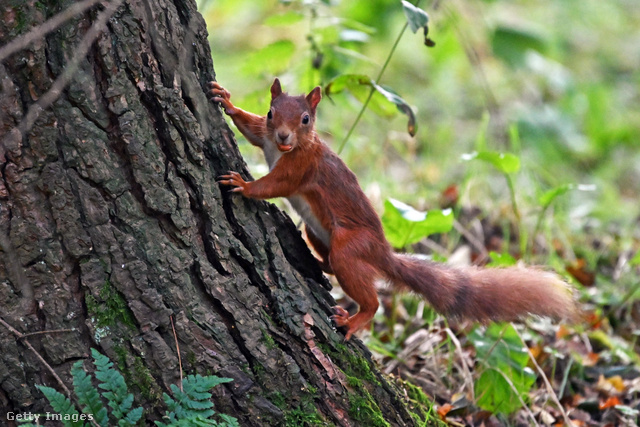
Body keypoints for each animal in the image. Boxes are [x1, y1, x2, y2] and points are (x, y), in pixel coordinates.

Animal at [209, 78, 576, 340]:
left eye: (305, 119)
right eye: (272, 112)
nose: (284, 137)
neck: (288, 148)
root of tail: (382, 252)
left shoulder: (301, 168)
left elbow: (275, 186)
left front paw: (244, 186)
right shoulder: (265, 137)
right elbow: (251, 128)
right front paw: (226, 100)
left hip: (350, 246)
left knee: (369, 297)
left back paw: (355, 320)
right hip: (316, 231)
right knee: (330, 263)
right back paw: (318, 263)